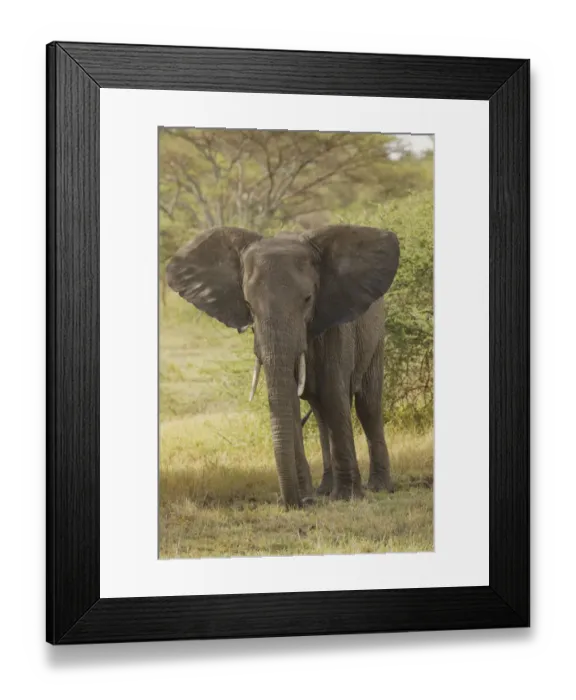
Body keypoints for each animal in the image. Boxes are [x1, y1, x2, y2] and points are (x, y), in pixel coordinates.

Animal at [165, 225, 400, 508]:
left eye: (308, 299)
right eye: (248, 305)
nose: (300, 502)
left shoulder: (337, 325)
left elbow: (334, 395)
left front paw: (347, 497)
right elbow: (291, 400)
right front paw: (308, 496)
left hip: (376, 337)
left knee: (367, 405)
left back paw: (378, 488)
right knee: (321, 415)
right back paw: (324, 490)